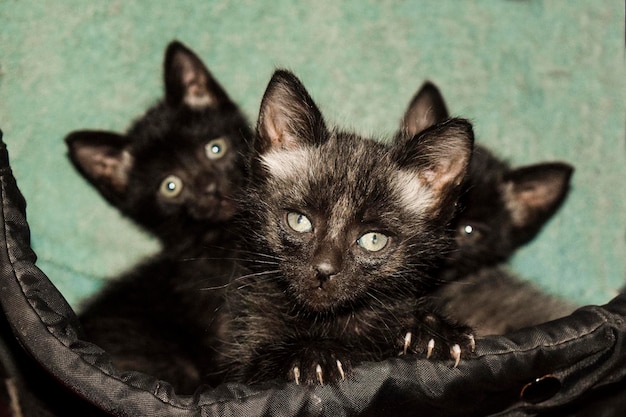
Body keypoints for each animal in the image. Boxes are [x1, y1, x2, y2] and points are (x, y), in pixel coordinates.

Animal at [214, 70, 472, 386]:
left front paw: (432, 331)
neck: (331, 322)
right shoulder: (241, 360)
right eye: (299, 221)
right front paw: (314, 355)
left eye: (373, 240)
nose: (324, 270)